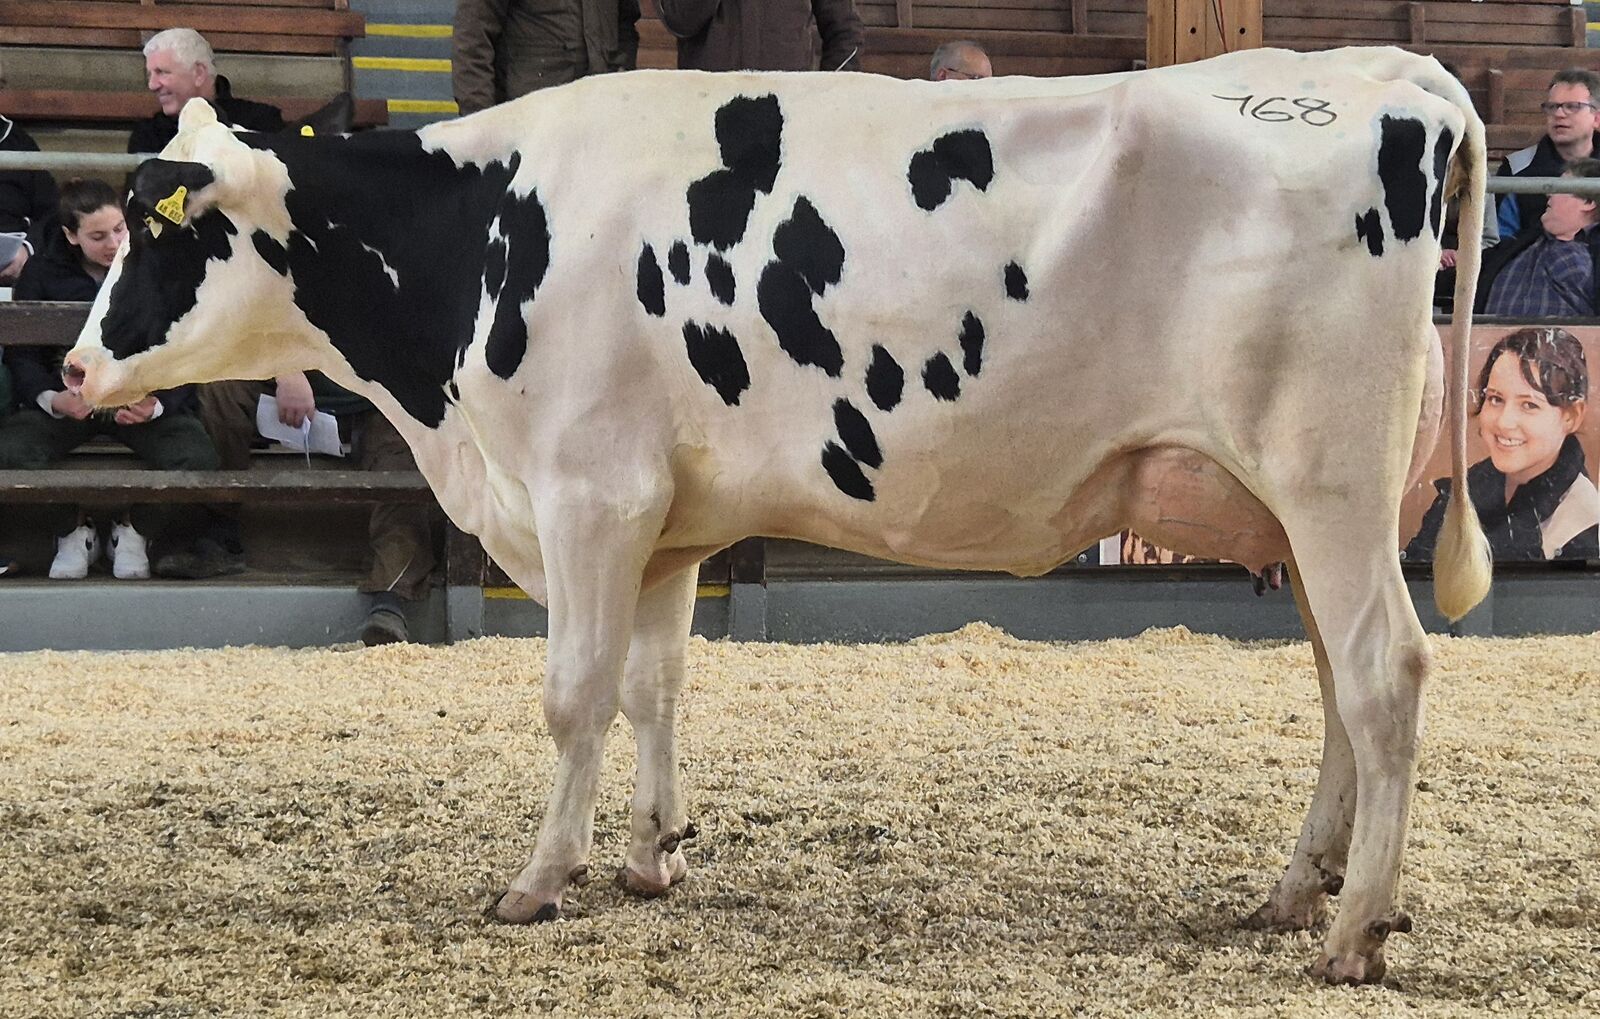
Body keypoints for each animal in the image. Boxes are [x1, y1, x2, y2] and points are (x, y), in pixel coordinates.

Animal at [62, 43, 1484, 979]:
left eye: (159, 226)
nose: (71, 369)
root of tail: (1380, 72)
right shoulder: (666, 516)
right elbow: (655, 686)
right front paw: (650, 856)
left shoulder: (589, 492)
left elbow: (572, 694)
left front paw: (539, 878)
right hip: (1301, 511)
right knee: (1337, 685)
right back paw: (1295, 893)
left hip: (1329, 480)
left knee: (1385, 672)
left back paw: (1354, 928)